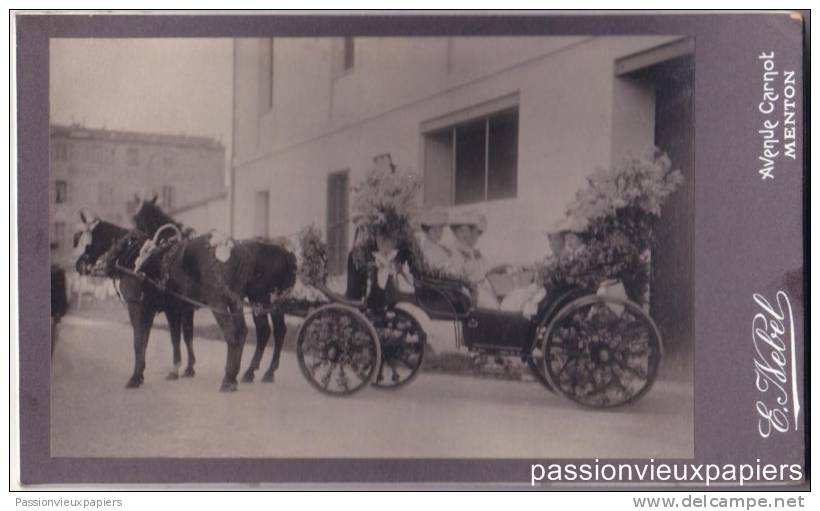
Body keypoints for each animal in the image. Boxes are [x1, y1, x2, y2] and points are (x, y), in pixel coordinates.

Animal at [72, 212, 197, 384]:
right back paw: (188, 368)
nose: (79, 265)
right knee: (187, 335)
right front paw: (141, 373)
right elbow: (145, 340)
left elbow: (138, 341)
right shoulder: (149, 310)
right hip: (184, 308)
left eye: (88, 242)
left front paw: (135, 377)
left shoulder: (136, 306)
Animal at [133, 199, 300, 384]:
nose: (135, 243)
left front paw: (177, 370)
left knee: (268, 331)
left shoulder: (174, 308)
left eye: (138, 219)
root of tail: (284, 253)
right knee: (270, 331)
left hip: (261, 299)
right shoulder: (187, 307)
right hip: (264, 302)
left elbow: (176, 337)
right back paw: (256, 372)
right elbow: (188, 334)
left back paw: (255, 372)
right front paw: (189, 368)